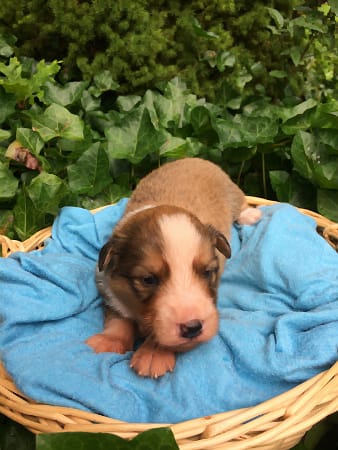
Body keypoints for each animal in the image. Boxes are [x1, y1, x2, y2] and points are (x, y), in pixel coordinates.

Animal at [85, 157, 262, 376]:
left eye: (207, 272)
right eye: (148, 279)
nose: (193, 327)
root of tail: (191, 158)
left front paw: (153, 354)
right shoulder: (108, 287)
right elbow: (118, 317)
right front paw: (108, 341)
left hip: (231, 189)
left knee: (240, 202)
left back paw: (251, 215)